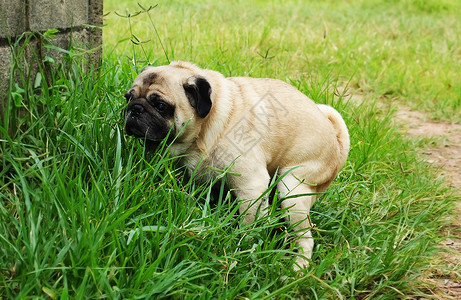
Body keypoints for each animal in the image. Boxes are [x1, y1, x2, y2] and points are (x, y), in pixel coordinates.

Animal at [123, 60, 348, 268]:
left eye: (161, 106)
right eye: (128, 97)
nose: (134, 109)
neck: (207, 128)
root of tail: (337, 141)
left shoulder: (251, 185)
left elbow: (248, 221)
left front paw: (244, 247)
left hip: (292, 188)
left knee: (305, 238)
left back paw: (298, 268)